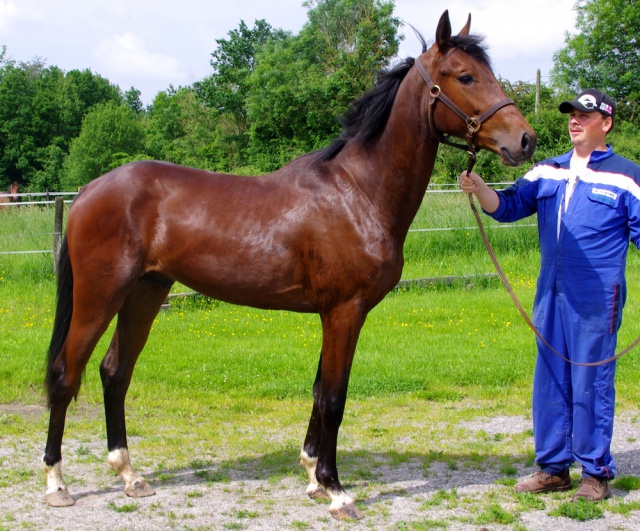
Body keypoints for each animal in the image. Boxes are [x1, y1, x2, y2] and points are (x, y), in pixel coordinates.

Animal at [42, 10, 536, 520]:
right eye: (465, 76)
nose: (525, 140)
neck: (359, 191)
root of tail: (89, 191)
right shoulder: (344, 311)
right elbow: (335, 398)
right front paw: (337, 490)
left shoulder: (333, 314)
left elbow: (319, 391)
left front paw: (314, 476)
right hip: (100, 297)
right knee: (65, 374)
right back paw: (57, 483)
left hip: (145, 292)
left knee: (114, 372)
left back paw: (129, 475)